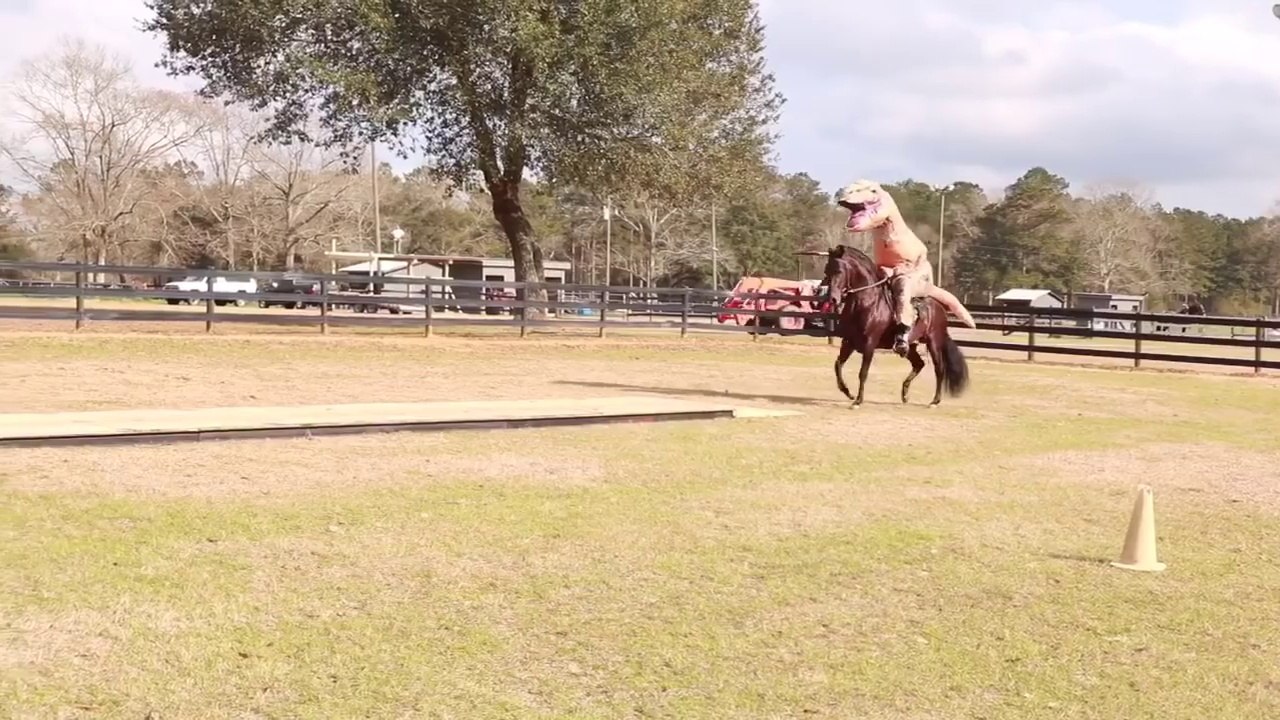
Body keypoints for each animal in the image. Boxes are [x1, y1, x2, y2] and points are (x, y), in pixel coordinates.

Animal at [819, 244, 969, 408]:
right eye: (826, 270)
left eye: (839, 271)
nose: (832, 299)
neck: (867, 302)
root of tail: (939, 306)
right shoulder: (848, 342)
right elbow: (838, 365)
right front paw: (848, 392)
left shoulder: (869, 344)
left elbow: (863, 372)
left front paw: (858, 401)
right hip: (910, 347)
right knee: (919, 364)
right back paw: (905, 394)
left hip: (933, 342)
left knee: (939, 369)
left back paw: (935, 401)